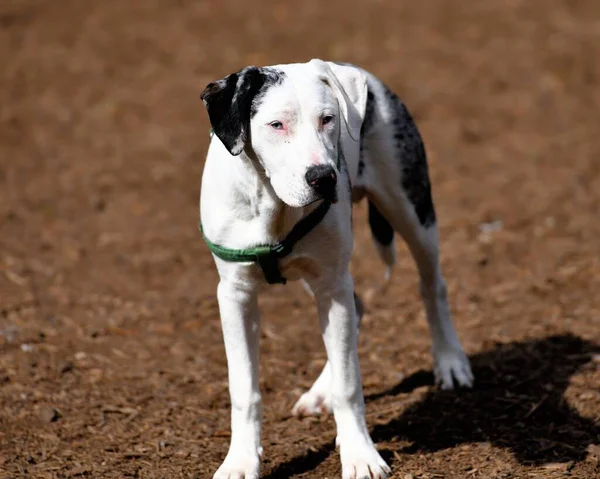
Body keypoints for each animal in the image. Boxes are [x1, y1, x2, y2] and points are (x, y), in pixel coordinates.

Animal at [199, 60, 472, 479]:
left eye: (328, 119)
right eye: (276, 124)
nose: (323, 177)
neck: (274, 207)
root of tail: (362, 73)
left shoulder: (331, 283)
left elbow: (349, 382)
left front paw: (361, 455)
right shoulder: (235, 295)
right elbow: (244, 389)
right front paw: (241, 461)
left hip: (411, 210)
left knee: (432, 285)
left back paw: (449, 360)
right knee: (357, 306)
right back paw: (318, 394)